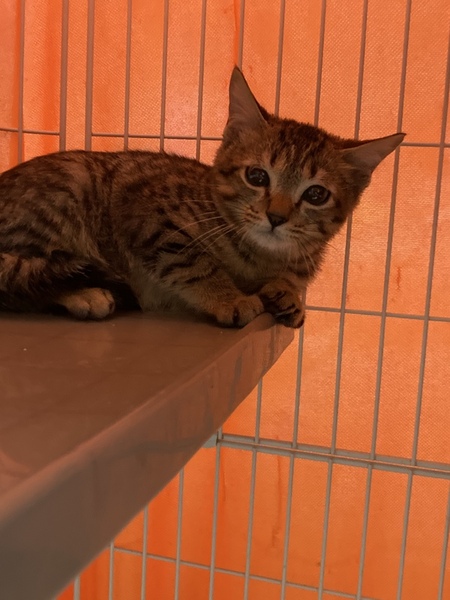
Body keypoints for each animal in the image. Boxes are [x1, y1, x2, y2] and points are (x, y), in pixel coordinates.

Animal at [0, 67, 404, 327]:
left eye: (316, 194)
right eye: (256, 176)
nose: (276, 217)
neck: (260, 259)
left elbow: (292, 279)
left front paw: (288, 291)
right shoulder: (146, 210)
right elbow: (193, 260)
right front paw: (230, 297)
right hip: (68, 189)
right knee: (18, 278)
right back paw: (84, 295)